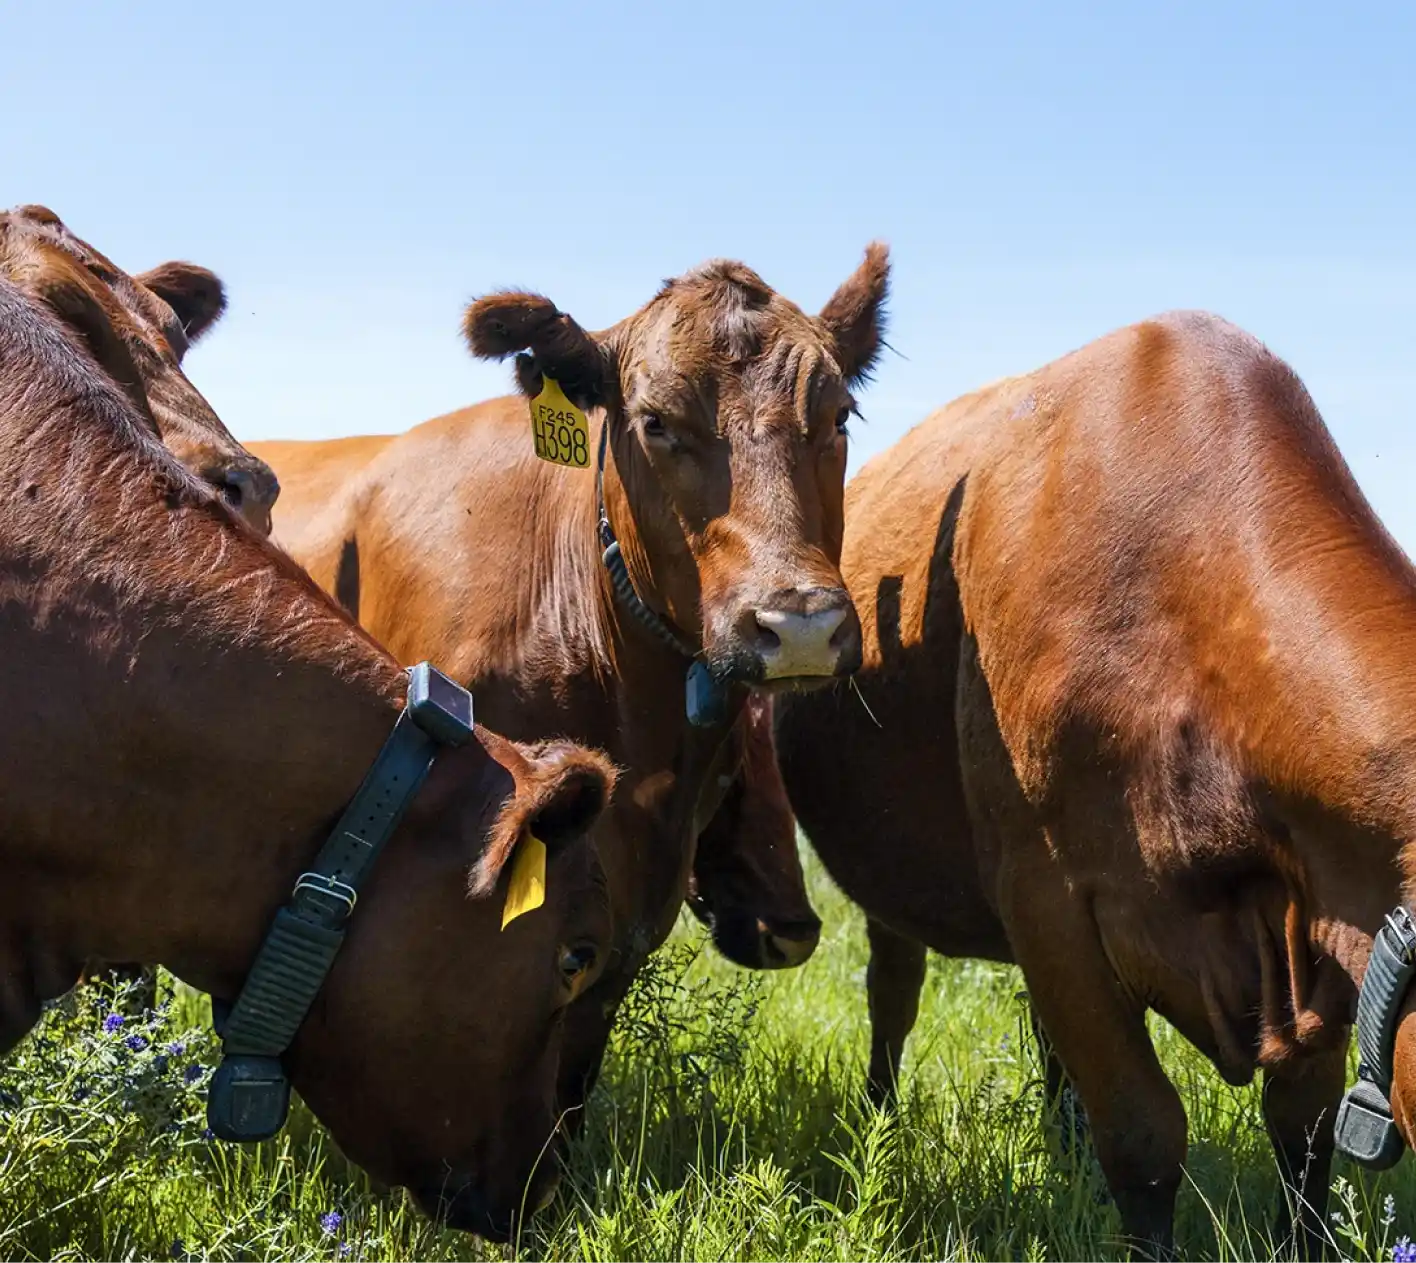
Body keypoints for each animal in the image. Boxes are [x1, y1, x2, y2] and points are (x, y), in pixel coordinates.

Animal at [772, 311, 1416, 1257]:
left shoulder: (1322, 912)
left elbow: (1304, 1132)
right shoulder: (1049, 894)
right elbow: (1145, 1134)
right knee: (893, 994)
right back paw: (880, 1128)